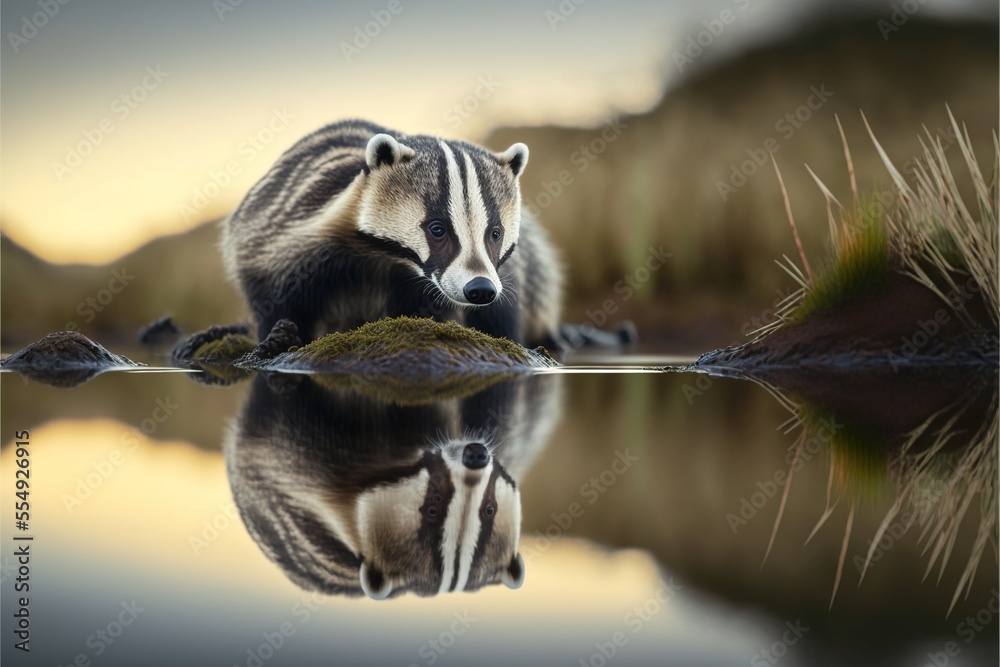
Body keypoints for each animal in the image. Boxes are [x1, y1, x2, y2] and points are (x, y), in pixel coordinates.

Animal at [222, 119, 563, 348]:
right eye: (437, 229)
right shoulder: (284, 234)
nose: (479, 289)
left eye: (495, 233)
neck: (382, 257)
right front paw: (278, 337)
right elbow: (276, 295)